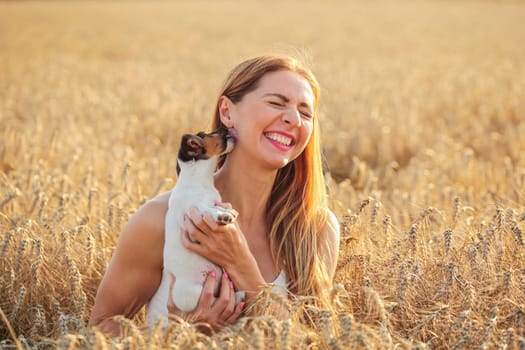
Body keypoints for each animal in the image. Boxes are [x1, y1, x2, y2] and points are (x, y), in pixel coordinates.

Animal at [146, 126, 238, 326]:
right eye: (207, 134)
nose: (225, 128)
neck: (201, 182)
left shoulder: (213, 199)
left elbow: (215, 205)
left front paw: (228, 211)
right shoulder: (190, 211)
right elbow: (205, 209)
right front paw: (221, 216)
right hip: (192, 294)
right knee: (210, 302)